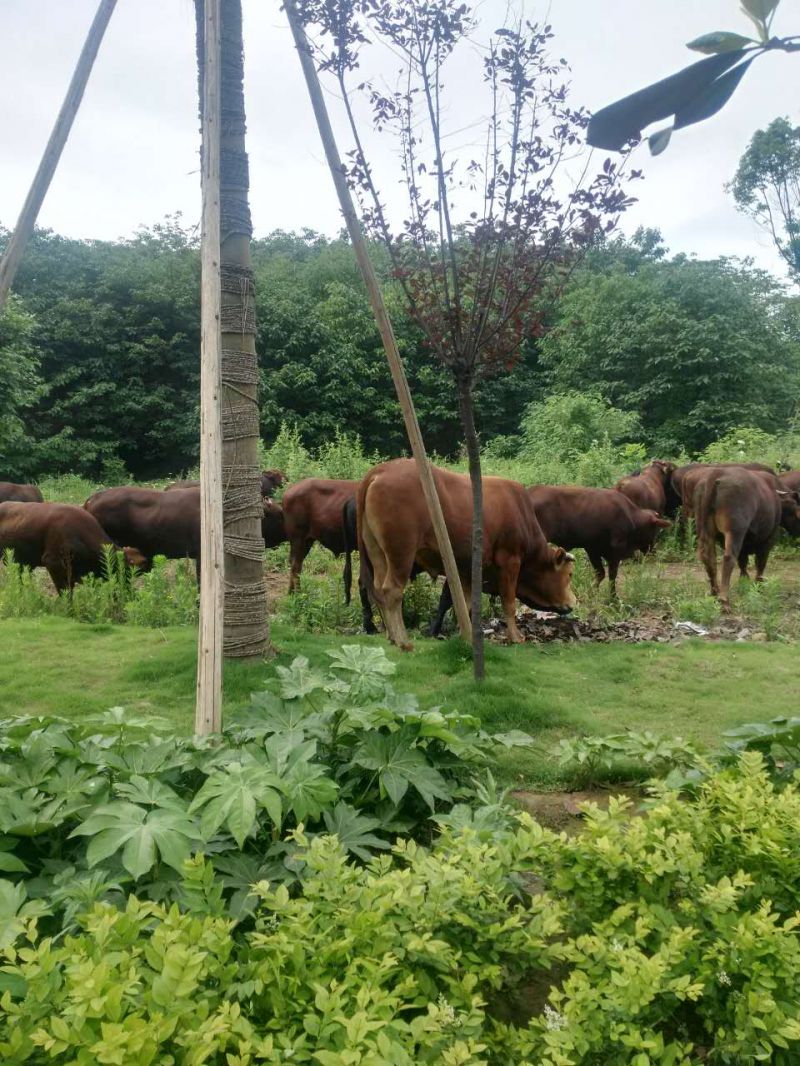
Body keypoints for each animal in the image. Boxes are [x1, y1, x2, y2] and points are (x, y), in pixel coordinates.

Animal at [356, 458, 576, 648]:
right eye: (570, 574)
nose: (574, 602)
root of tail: (380, 470)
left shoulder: (466, 567)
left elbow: (466, 603)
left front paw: (468, 635)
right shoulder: (510, 561)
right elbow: (509, 602)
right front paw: (515, 636)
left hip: (377, 553)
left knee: (378, 589)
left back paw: (392, 637)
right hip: (401, 552)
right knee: (392, 591)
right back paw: (402, 640)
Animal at [691, 469, 797, 609]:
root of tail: (717, 473)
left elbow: (743, 562)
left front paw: (744, 582)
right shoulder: (768, 539)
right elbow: (760, 563)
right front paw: (758, 585)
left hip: (706, 531)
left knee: (709, 558)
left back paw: (715, 593)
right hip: (735, 532)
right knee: (728, 558)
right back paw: (724, 600)